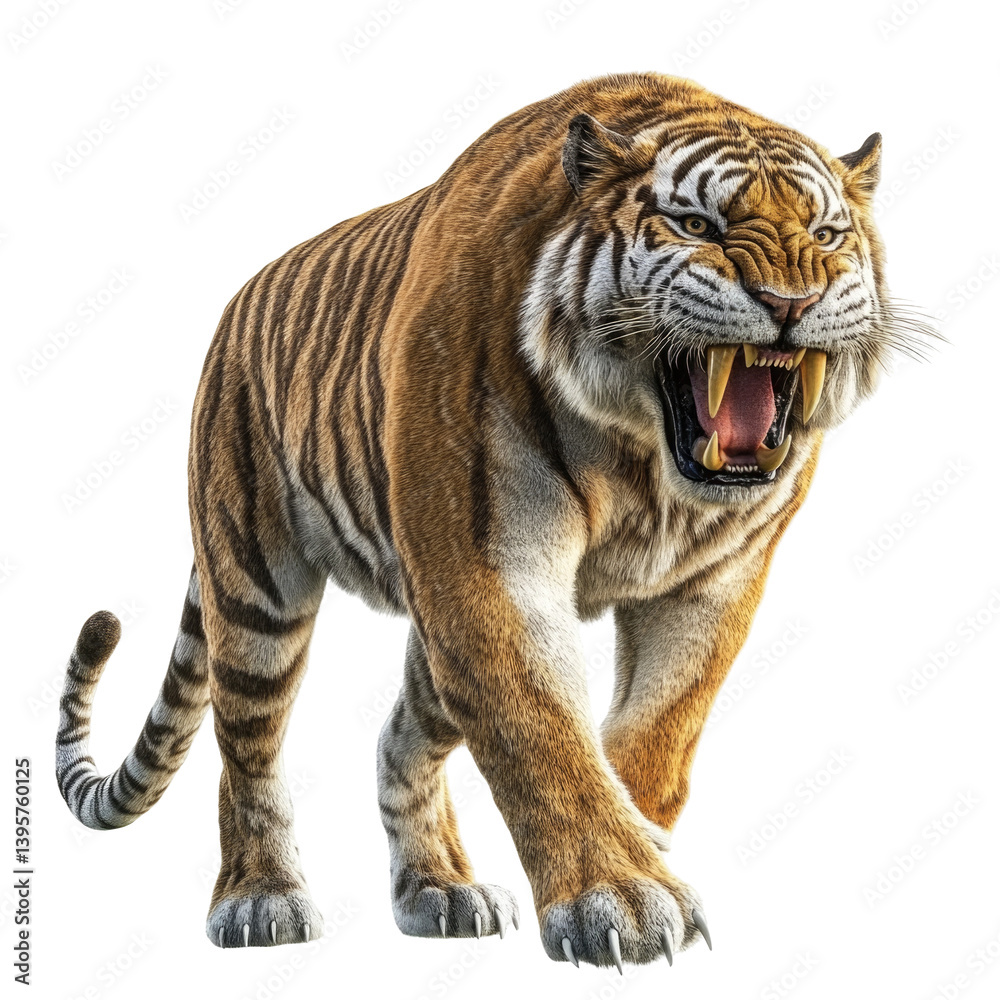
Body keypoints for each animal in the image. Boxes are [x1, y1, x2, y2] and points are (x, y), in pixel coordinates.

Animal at [55, 71, 927, 970]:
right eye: (697, 226)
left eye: (827, 235)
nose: (792, 300)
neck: (645, 463)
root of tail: (238, 303)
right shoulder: (488, 570)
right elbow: (540, 733)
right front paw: (621, 897)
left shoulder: (714, 584)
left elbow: (659, 726)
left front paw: (644, 842)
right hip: (256, 587)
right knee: (248, 753)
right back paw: (260, 901)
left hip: (423, 634)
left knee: (398, 738)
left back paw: (440, 889)